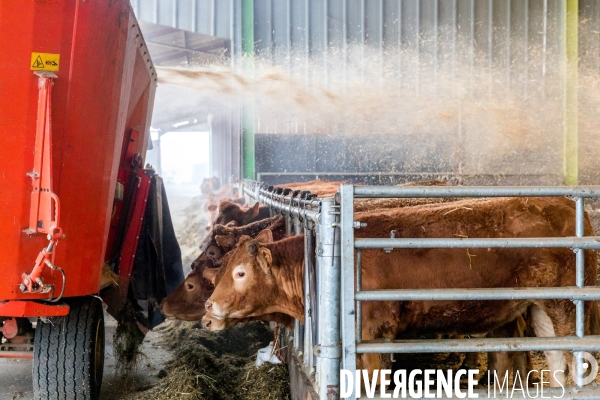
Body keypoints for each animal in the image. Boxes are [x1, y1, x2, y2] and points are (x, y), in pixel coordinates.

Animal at [207, 198, 600, 388]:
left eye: (240, 273)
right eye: (223, 267)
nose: (208, 310)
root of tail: (568, 205)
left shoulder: (373, 336)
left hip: (569, 306)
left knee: (576, 359)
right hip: (539, 307)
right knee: (555, 358)